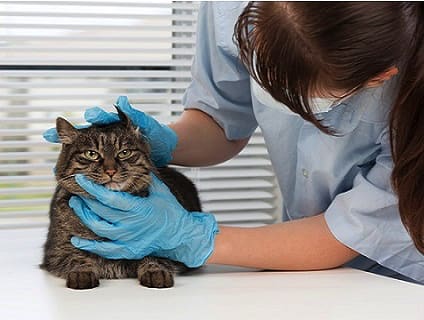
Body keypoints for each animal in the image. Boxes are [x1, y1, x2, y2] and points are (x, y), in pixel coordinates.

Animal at [41, 108, 202, 290]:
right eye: (91, 154)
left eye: (124, 153)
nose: (111, 170)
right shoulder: (58, 250)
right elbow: (77, 257)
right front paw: (81, 273)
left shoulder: (164, 243)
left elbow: (153, 256)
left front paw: (155, 270)